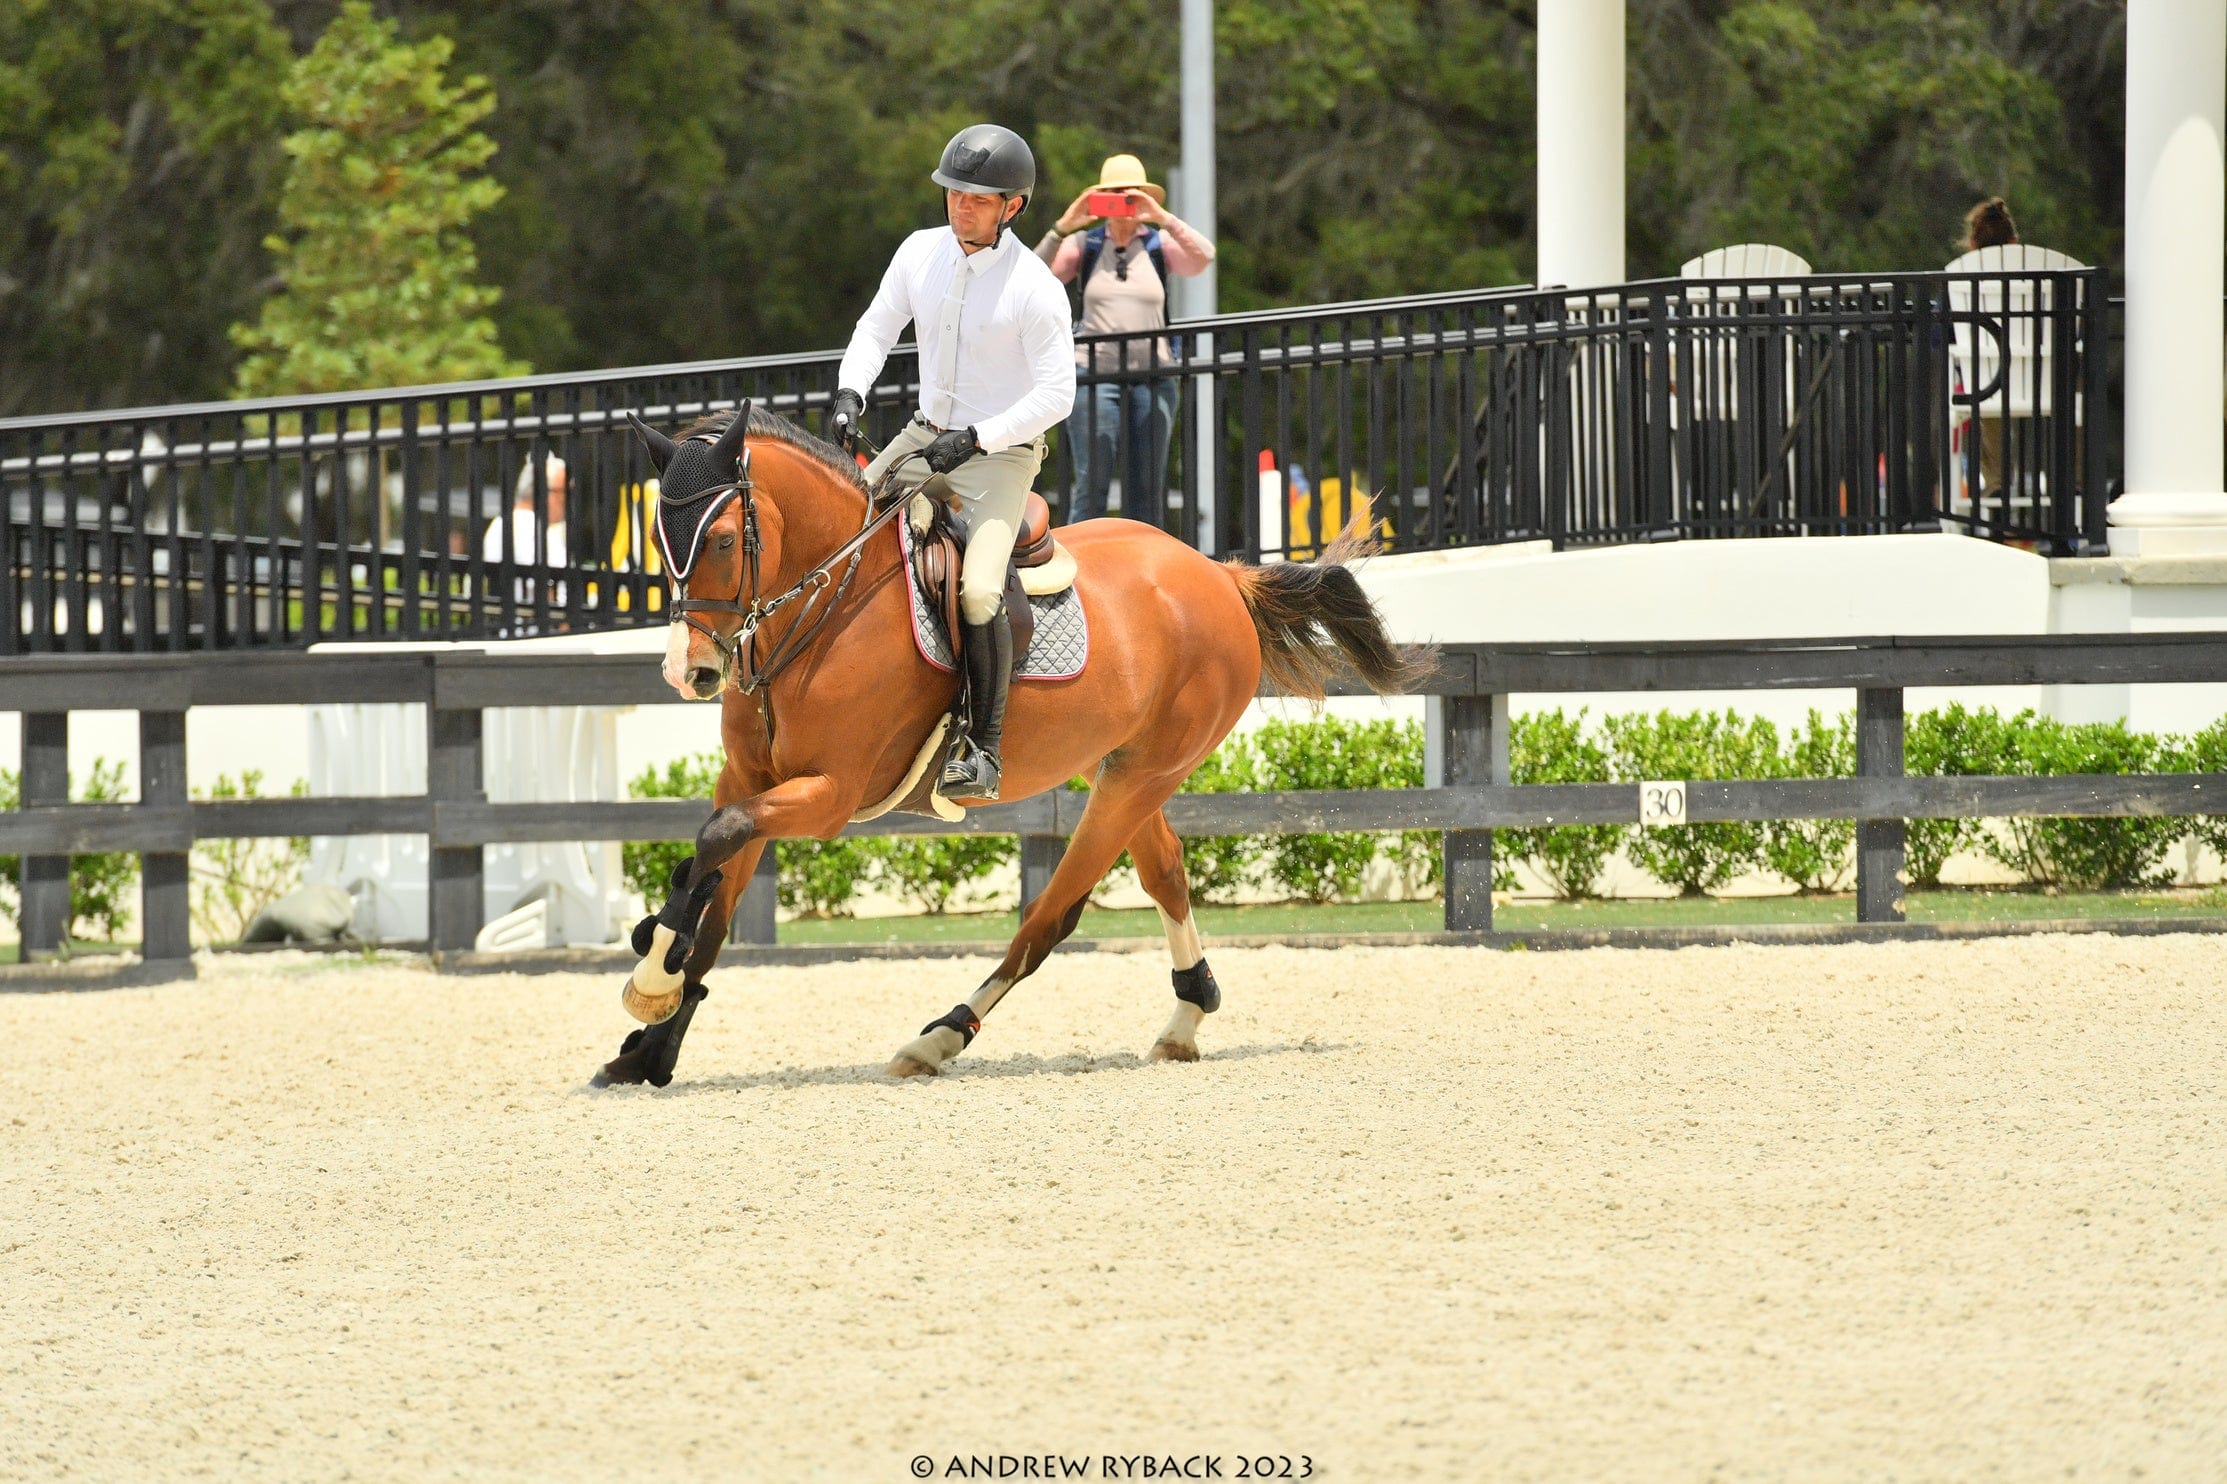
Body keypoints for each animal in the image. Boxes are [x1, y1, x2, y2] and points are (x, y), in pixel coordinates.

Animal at [596, 398, 1425, 1082]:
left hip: (1138, 777)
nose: (689, 672)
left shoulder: (829, 796)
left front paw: (651, 984)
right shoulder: (750, 778)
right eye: (658, 539)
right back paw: (1187, 1017)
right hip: (1121, 771)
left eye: (722, 540)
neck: (828, 601)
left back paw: (938, 1037)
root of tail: (1219, 576)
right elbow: (715, 887)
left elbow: (717, 839)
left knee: (1046, 920)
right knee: (1165, 874)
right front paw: (653, 1040)